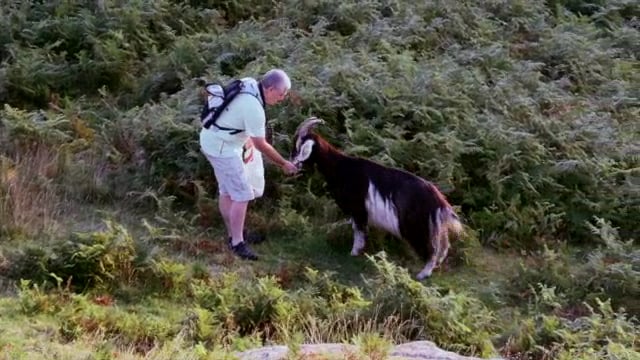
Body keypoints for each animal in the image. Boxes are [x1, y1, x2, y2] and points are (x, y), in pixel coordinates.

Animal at [292, 116, 464, 280]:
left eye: (298, 147)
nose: (294, 164)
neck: (340, 168)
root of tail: (438, 201)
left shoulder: (358, 209)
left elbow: (359, 231)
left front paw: (354, 252)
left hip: (417, 225)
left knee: (431, 248)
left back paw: (424, 274)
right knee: (443, 246)